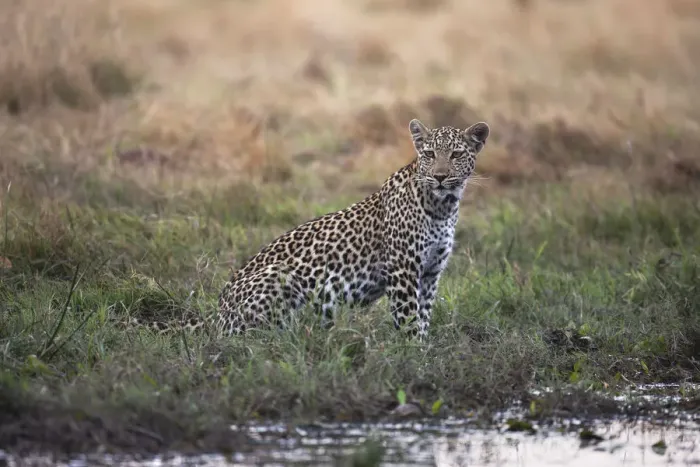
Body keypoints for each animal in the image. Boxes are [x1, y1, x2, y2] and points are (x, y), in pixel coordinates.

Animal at [131, 118, 490, 341]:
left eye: (456, 154)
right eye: (429, 154)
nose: (440, 176)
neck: (442, 207)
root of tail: (216, 316)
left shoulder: (429, 273)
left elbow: (424, 315)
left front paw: (423, 351)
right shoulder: (403, 271)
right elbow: (409, 318)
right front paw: (412, 354)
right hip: (278, 278)